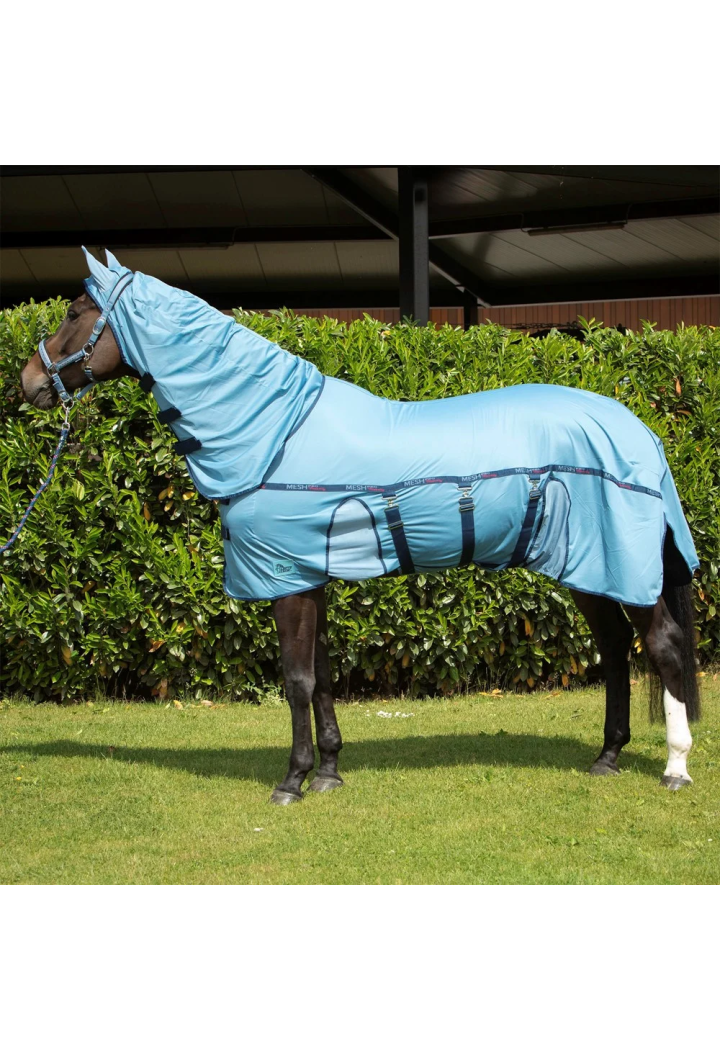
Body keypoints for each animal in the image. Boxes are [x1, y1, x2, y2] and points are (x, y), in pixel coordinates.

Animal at [19, 248, 701, 804]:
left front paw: (292, 781)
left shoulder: (288, 580)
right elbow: (320, 677)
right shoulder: (309, 576)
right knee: (614, 648)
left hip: (614, 564)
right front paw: (328, 772)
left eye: (75, 310)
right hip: (588, 565)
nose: (26, 383)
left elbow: (295, 680)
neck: (275, 432)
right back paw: (607, 757)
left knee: (663, 647)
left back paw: (675, 768)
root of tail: (640, 432)